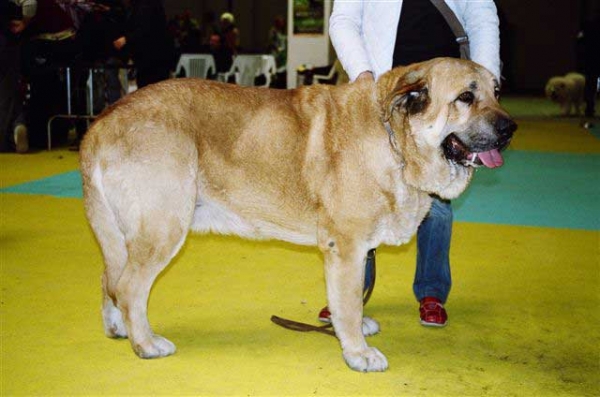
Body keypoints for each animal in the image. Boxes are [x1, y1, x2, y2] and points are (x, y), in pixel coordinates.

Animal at [79, 56, 516, 372]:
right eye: (465, 97)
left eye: (496, 91)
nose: (510, 128)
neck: (394, 139)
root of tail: (100, 124)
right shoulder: (347, 248)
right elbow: (348, 303)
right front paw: (358, 352)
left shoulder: (358, 250)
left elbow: (352, 299)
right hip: (163, 228)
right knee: (130, 288)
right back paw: (146, 344)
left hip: (121, 236)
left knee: (109, 280)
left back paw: (118, 329)